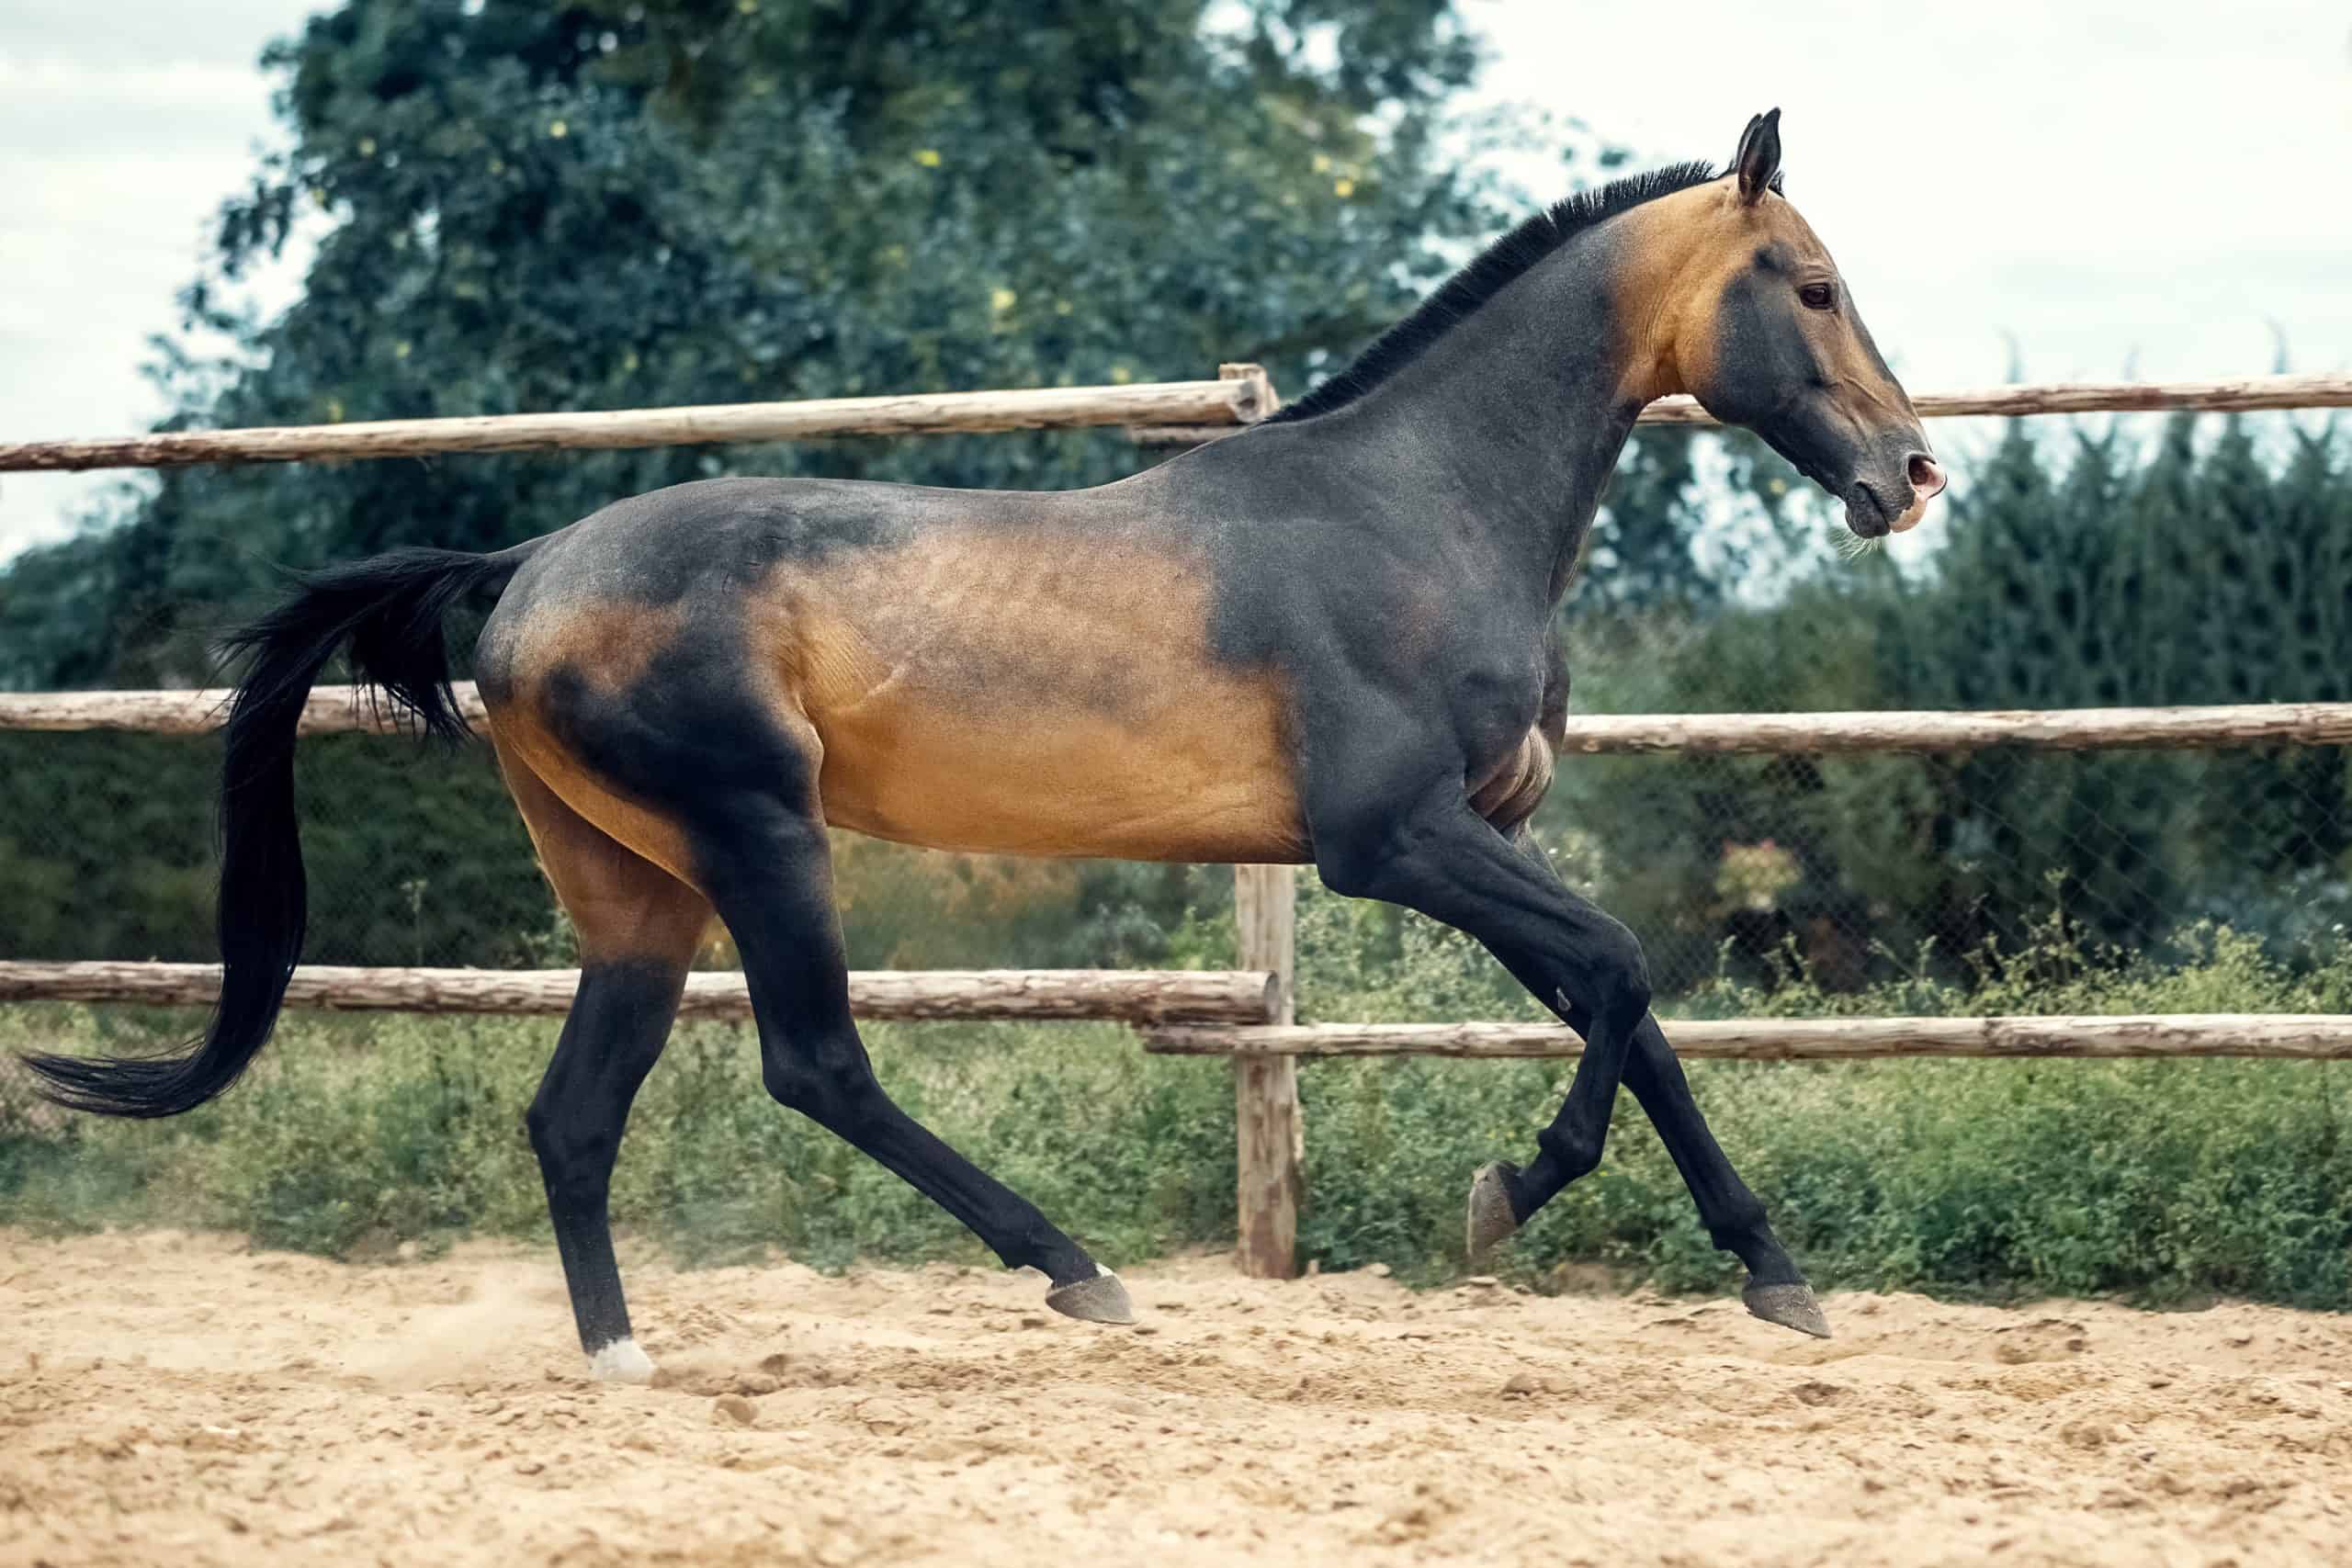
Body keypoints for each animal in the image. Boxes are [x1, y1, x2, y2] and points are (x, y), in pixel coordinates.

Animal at [32, 113, 1947, 1382]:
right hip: (759, 840)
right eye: (1808, 283)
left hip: (636, 893)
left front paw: (1775, 1275)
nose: (1910, 476)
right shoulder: (1392, 839)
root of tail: (525, 573)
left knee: (576, 1114)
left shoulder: (1478, 837)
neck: (1414, 508)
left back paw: (622, 1358)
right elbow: (1619, 974)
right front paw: (1507, 1196)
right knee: (817, 1065)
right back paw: (1074, 1271)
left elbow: (1629, 1005)